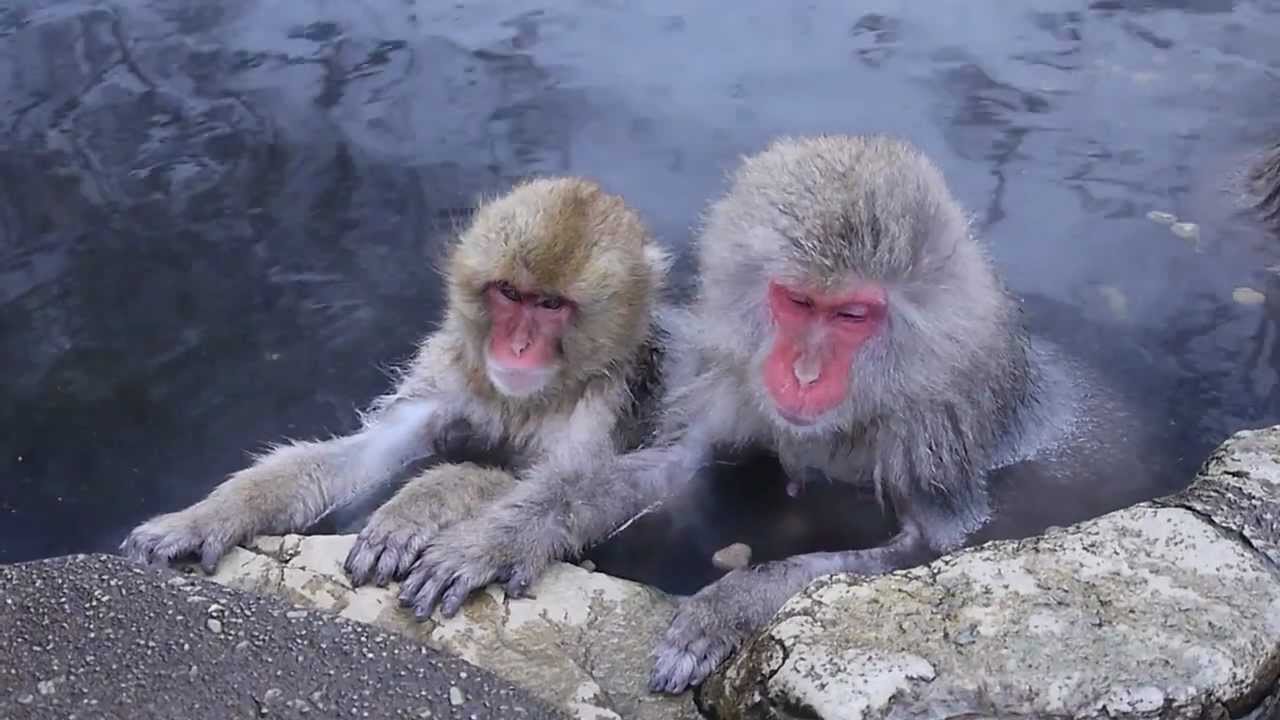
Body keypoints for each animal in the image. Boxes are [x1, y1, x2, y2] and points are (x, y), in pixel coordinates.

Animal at [123, 175, 675, 584]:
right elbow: (368, 454)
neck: (526, 399)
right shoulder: (448, 376)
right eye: (508, 293)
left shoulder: (609, 404)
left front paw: (419, 505)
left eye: (551, 305)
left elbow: (574, 484)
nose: (516, 347)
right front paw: (211, 515)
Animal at [396, 133, 1100, 691]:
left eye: (852, 314)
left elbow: (936, 549)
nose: (803, 374)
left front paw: (732, 604)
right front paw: (505, 535)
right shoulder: (728, 374)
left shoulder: (938, 426)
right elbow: (668, 467)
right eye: (797, 302)